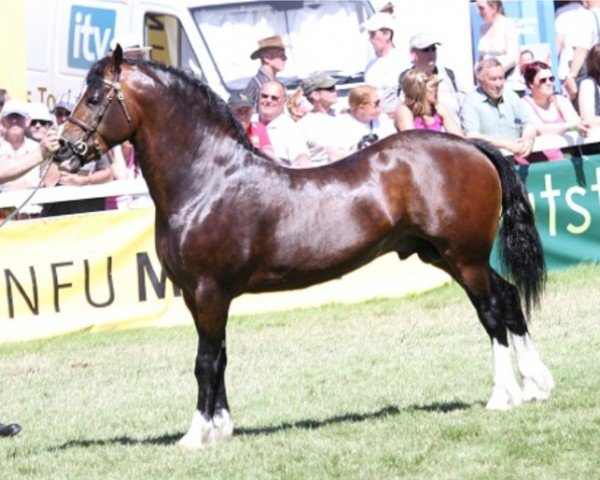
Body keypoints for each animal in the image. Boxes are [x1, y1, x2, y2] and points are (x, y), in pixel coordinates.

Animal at [56, 47, 552, 448]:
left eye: (96, 98)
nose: (62, 148)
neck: (207, 180)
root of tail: (471, 145)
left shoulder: (209, 292)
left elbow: (205, 361)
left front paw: (196, 434)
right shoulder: (199, 298)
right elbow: (220, 357)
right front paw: (222, 426)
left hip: (464, 258)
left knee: (492, 312)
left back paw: (503, 395)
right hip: (447, 257)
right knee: (508, 298)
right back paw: (537, 386)